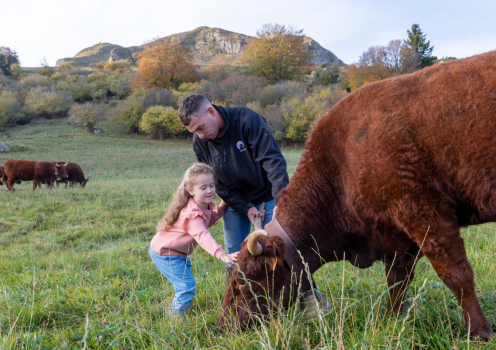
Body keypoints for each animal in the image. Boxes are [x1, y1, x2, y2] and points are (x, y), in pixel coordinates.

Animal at [219, 50, 496, 340]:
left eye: (244, 282)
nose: (222, 325)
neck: (343, 159)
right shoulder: (399, 240)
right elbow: (397, 281)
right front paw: (391, 318)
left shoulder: (426, 215)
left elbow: (456, 274)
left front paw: (480, 331)